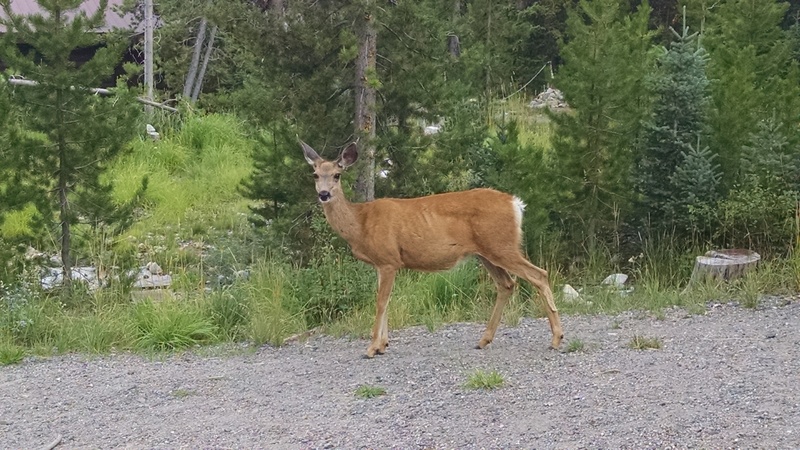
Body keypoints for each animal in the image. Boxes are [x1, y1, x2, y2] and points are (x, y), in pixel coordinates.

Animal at [301, 141, 563, 358]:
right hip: (486, 252)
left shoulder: (388, 260)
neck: (360, 223)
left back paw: (556, 338)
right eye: (315, 174)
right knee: (507, 284)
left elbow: (381, 302)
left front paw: (372, 347)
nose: (323, 194)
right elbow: (386, 300)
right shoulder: (381, 264)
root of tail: (515, 203)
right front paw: (383, 345)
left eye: (337, 175)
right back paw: (484, 340)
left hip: (501, 245)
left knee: (539, 275)